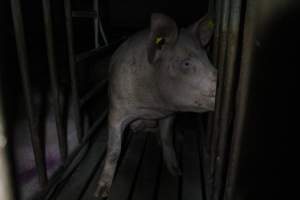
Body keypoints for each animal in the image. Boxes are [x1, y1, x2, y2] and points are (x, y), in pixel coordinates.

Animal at [95, 13, 217, 198]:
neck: (152, 107)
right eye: (186, 63)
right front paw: (100, 192)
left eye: (208, 59)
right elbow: (114, 150)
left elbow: (167, 139)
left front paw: (176, 172)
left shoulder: (169, 114)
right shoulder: (117, 110)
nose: (220, 83)